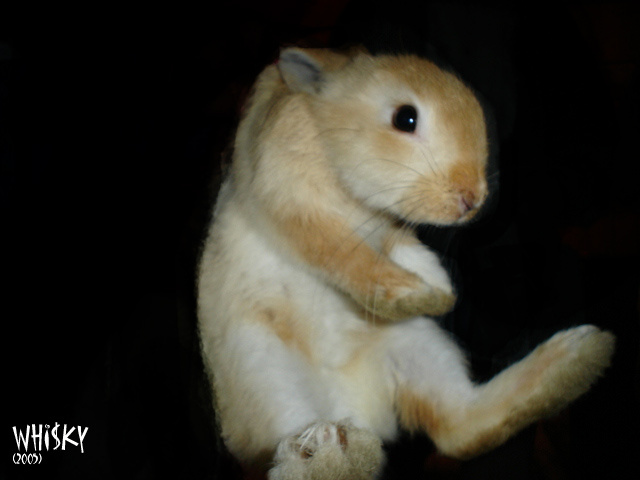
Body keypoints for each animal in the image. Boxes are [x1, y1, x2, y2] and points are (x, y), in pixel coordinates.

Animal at [197, 46, 615, 480]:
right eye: (406, 118)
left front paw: (439, 288)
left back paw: (581, 356)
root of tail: (357, 411)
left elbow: (404, 249)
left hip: (416, 346)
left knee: (460, 427)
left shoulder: (390, 230)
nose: (472, 198)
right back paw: (333, 450)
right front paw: (416, 296)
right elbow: (348, 258)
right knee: (293, 463)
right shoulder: (298, 211)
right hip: (266, 376)